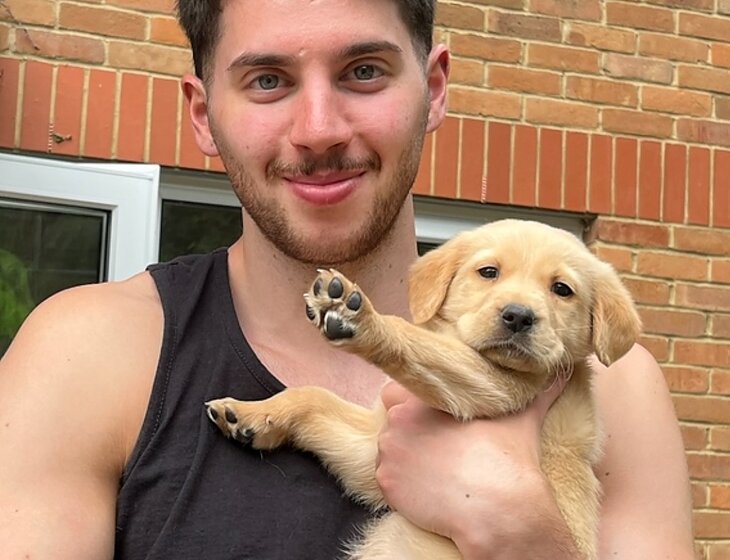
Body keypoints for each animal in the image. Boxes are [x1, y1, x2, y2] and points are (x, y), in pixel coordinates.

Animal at [206, 219, 641, 559]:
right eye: (488, 272)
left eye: (562, 289)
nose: (518, 316)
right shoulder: (372, 450)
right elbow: (314, 396)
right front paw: (250, 414)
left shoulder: (497, 386)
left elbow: (415, 341)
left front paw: (363, 319)